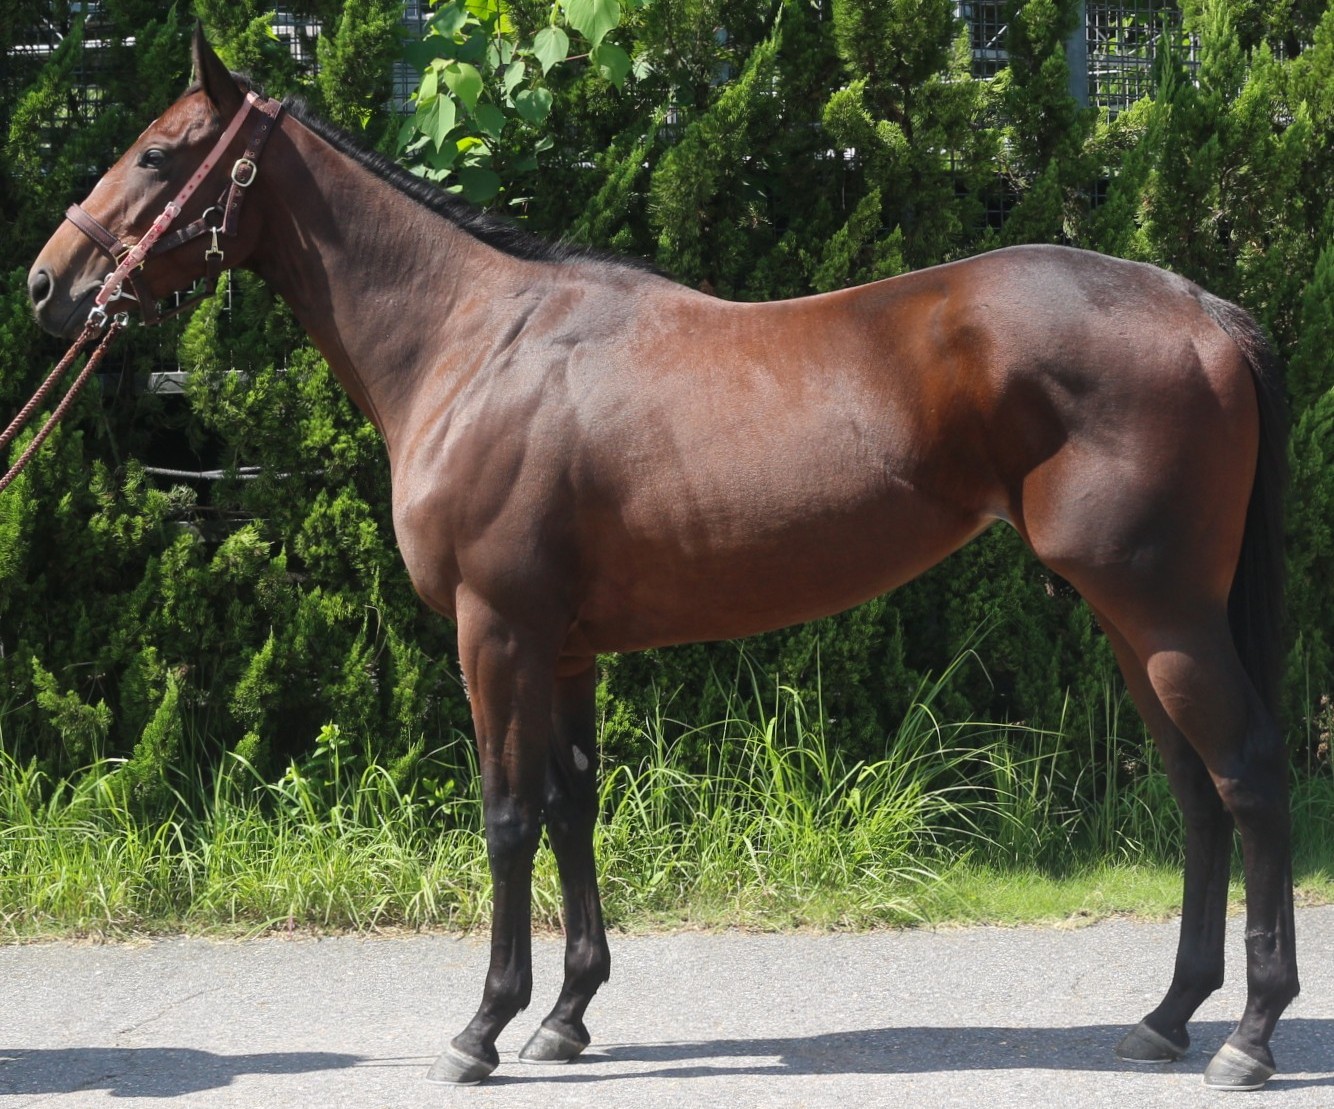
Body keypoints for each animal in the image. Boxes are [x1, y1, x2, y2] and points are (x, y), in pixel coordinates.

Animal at [26, 27, 1296, 1091]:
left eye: (157, 155)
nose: (49, 284)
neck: (472, 344)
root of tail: (1201, 309)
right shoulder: (565, 645)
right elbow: (572, 803)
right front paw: (566, 1014)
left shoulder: (494, 629)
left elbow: (506, 814)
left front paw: (482, 1028)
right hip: (1133, 620)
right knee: (1192, 791)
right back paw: (1165, 1015)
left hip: (1163, 613)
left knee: (1244, 774)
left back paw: (1246, 1033)